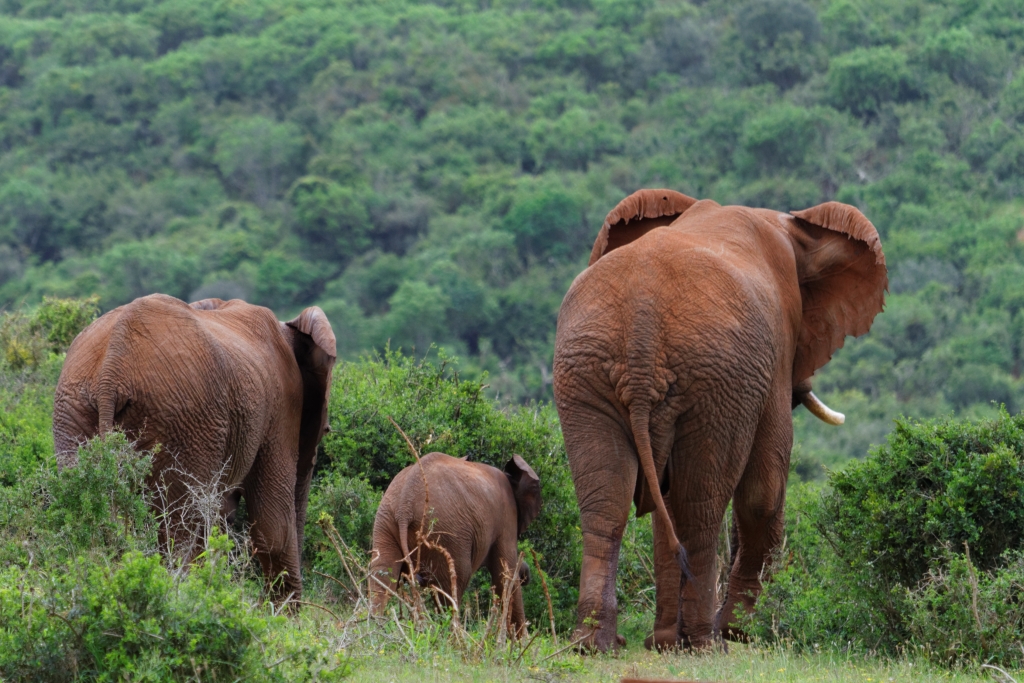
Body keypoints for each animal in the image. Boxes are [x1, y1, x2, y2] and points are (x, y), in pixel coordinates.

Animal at [52, 293, 336, 601]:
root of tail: (110, 372)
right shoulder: (280, 412)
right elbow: (273, 527)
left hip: (75, 409)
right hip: (184, 420)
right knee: (183, 529)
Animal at [369, 452, 541, 638]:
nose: (526, 574)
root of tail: (404, 506)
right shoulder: (507, 518)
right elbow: (505, 576)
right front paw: (523, 642)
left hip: (385, 520)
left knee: (382, 575)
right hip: (446, 531)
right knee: (455, 582)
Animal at [552, 189, 887, 651]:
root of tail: (642, 330)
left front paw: (666, 641)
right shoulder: (773, 356)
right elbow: (764, 490)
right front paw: (741, 632)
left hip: (585, 369)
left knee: (608, 506)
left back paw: (597, 643)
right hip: (717, 383)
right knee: (700, 507)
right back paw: (706, 643)